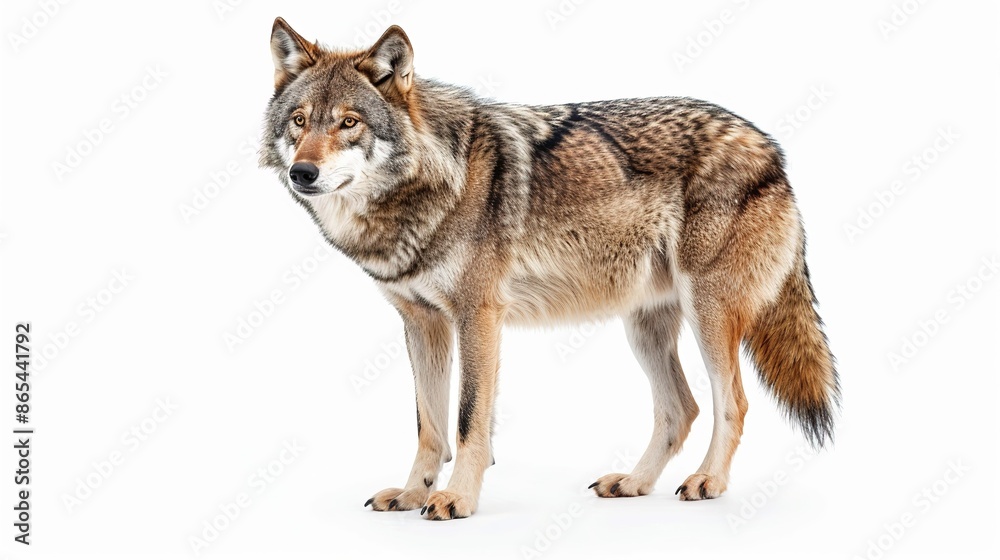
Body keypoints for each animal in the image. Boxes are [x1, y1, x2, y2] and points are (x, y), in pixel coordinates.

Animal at [259, 18, 840, 520]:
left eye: (349, 122)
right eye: (300, 121)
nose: (302, 172)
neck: (431, 184)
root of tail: (771, 148)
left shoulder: (478, 316)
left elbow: (467, 421)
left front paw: (456, 499)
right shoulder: (422, 323)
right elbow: (429, 426)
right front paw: (411, 494)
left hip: (709, 314)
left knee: (732, 403)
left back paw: (708, 482)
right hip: (644, 327)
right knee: (682, 409)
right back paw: (634, 483)